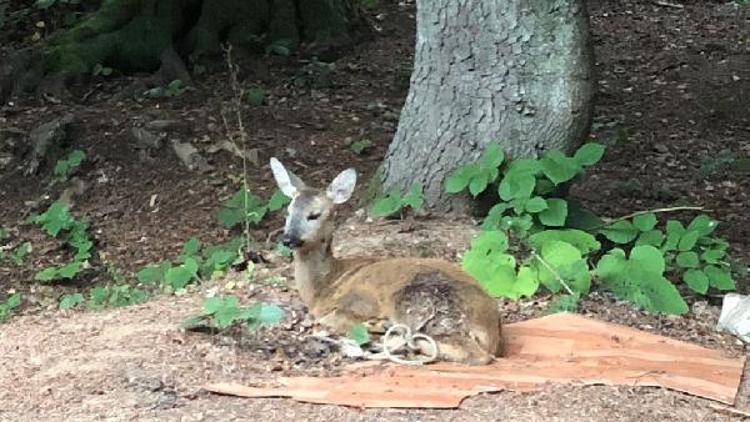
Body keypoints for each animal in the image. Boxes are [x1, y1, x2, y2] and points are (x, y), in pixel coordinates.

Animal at [270, 157, 506, 364]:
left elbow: (325, 320)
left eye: (314, 215)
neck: (323, 288)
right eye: (288, 212)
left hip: (421, 303)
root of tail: (490, 328)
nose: (288, 239)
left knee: (469, 352)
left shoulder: (358, 303)